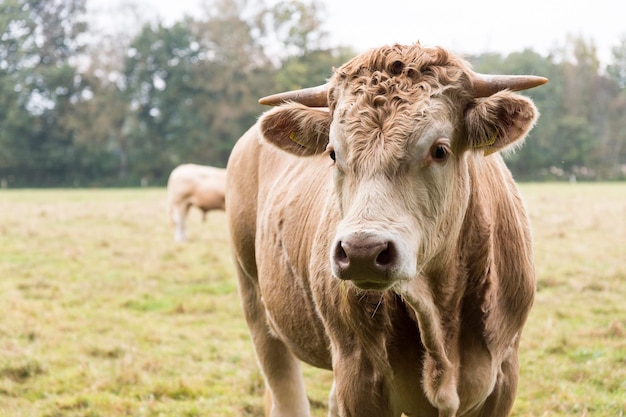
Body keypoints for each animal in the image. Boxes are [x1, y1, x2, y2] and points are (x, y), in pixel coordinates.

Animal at [225, 44, 544, 414]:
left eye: (439, 150)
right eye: (332, 153)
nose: (363, 252)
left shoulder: (503, 376)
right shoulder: (357, 376)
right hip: (256, 303)